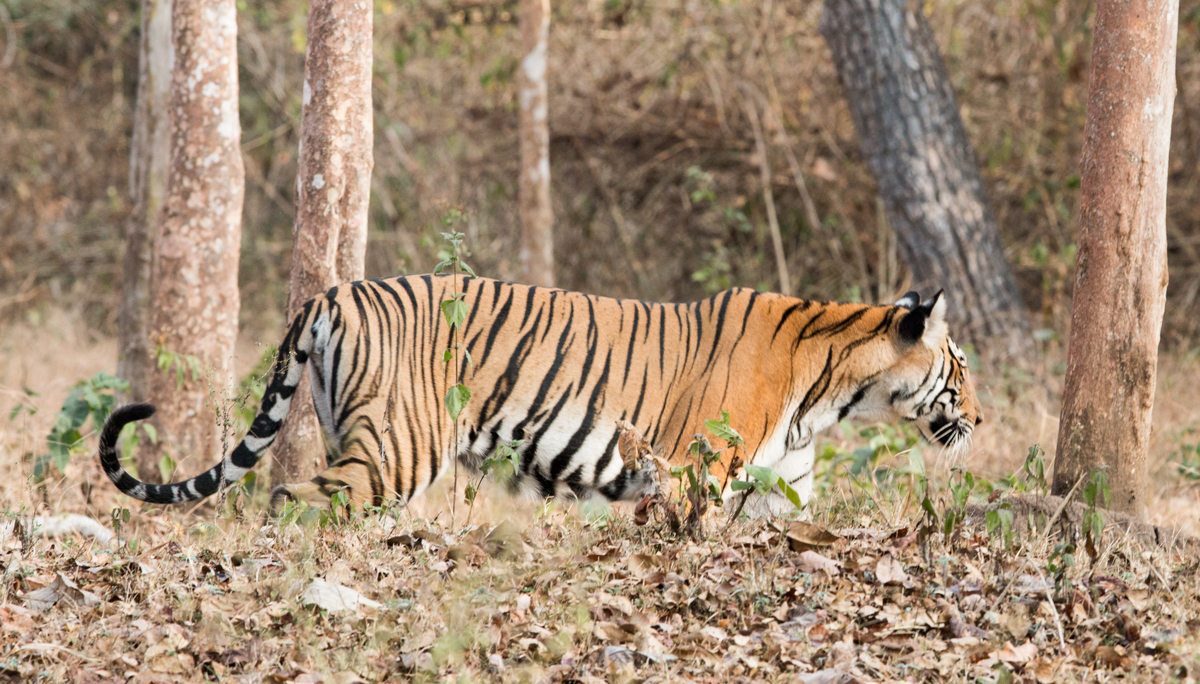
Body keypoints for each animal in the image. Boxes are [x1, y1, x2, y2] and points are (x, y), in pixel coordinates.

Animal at [98, 271, 984, 511]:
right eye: (964, 368)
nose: (981, 417)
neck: (832, 392)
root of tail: (331, 293)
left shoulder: (780, 486)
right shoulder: (691, 471)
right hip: (399, 444)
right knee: (299, 500)